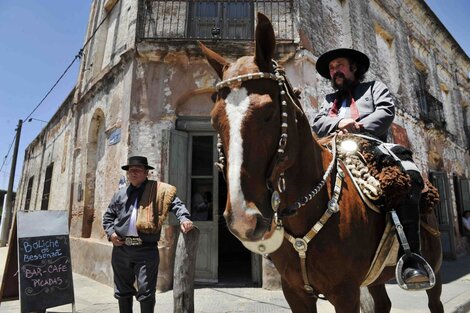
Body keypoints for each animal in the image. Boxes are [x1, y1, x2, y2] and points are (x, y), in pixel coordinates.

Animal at [200, 12, 442, 312]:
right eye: (214, 119)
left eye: (269, 112)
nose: (244, 220)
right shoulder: (295, 292)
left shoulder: (345, 293)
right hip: (374, 278)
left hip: (434, 267)